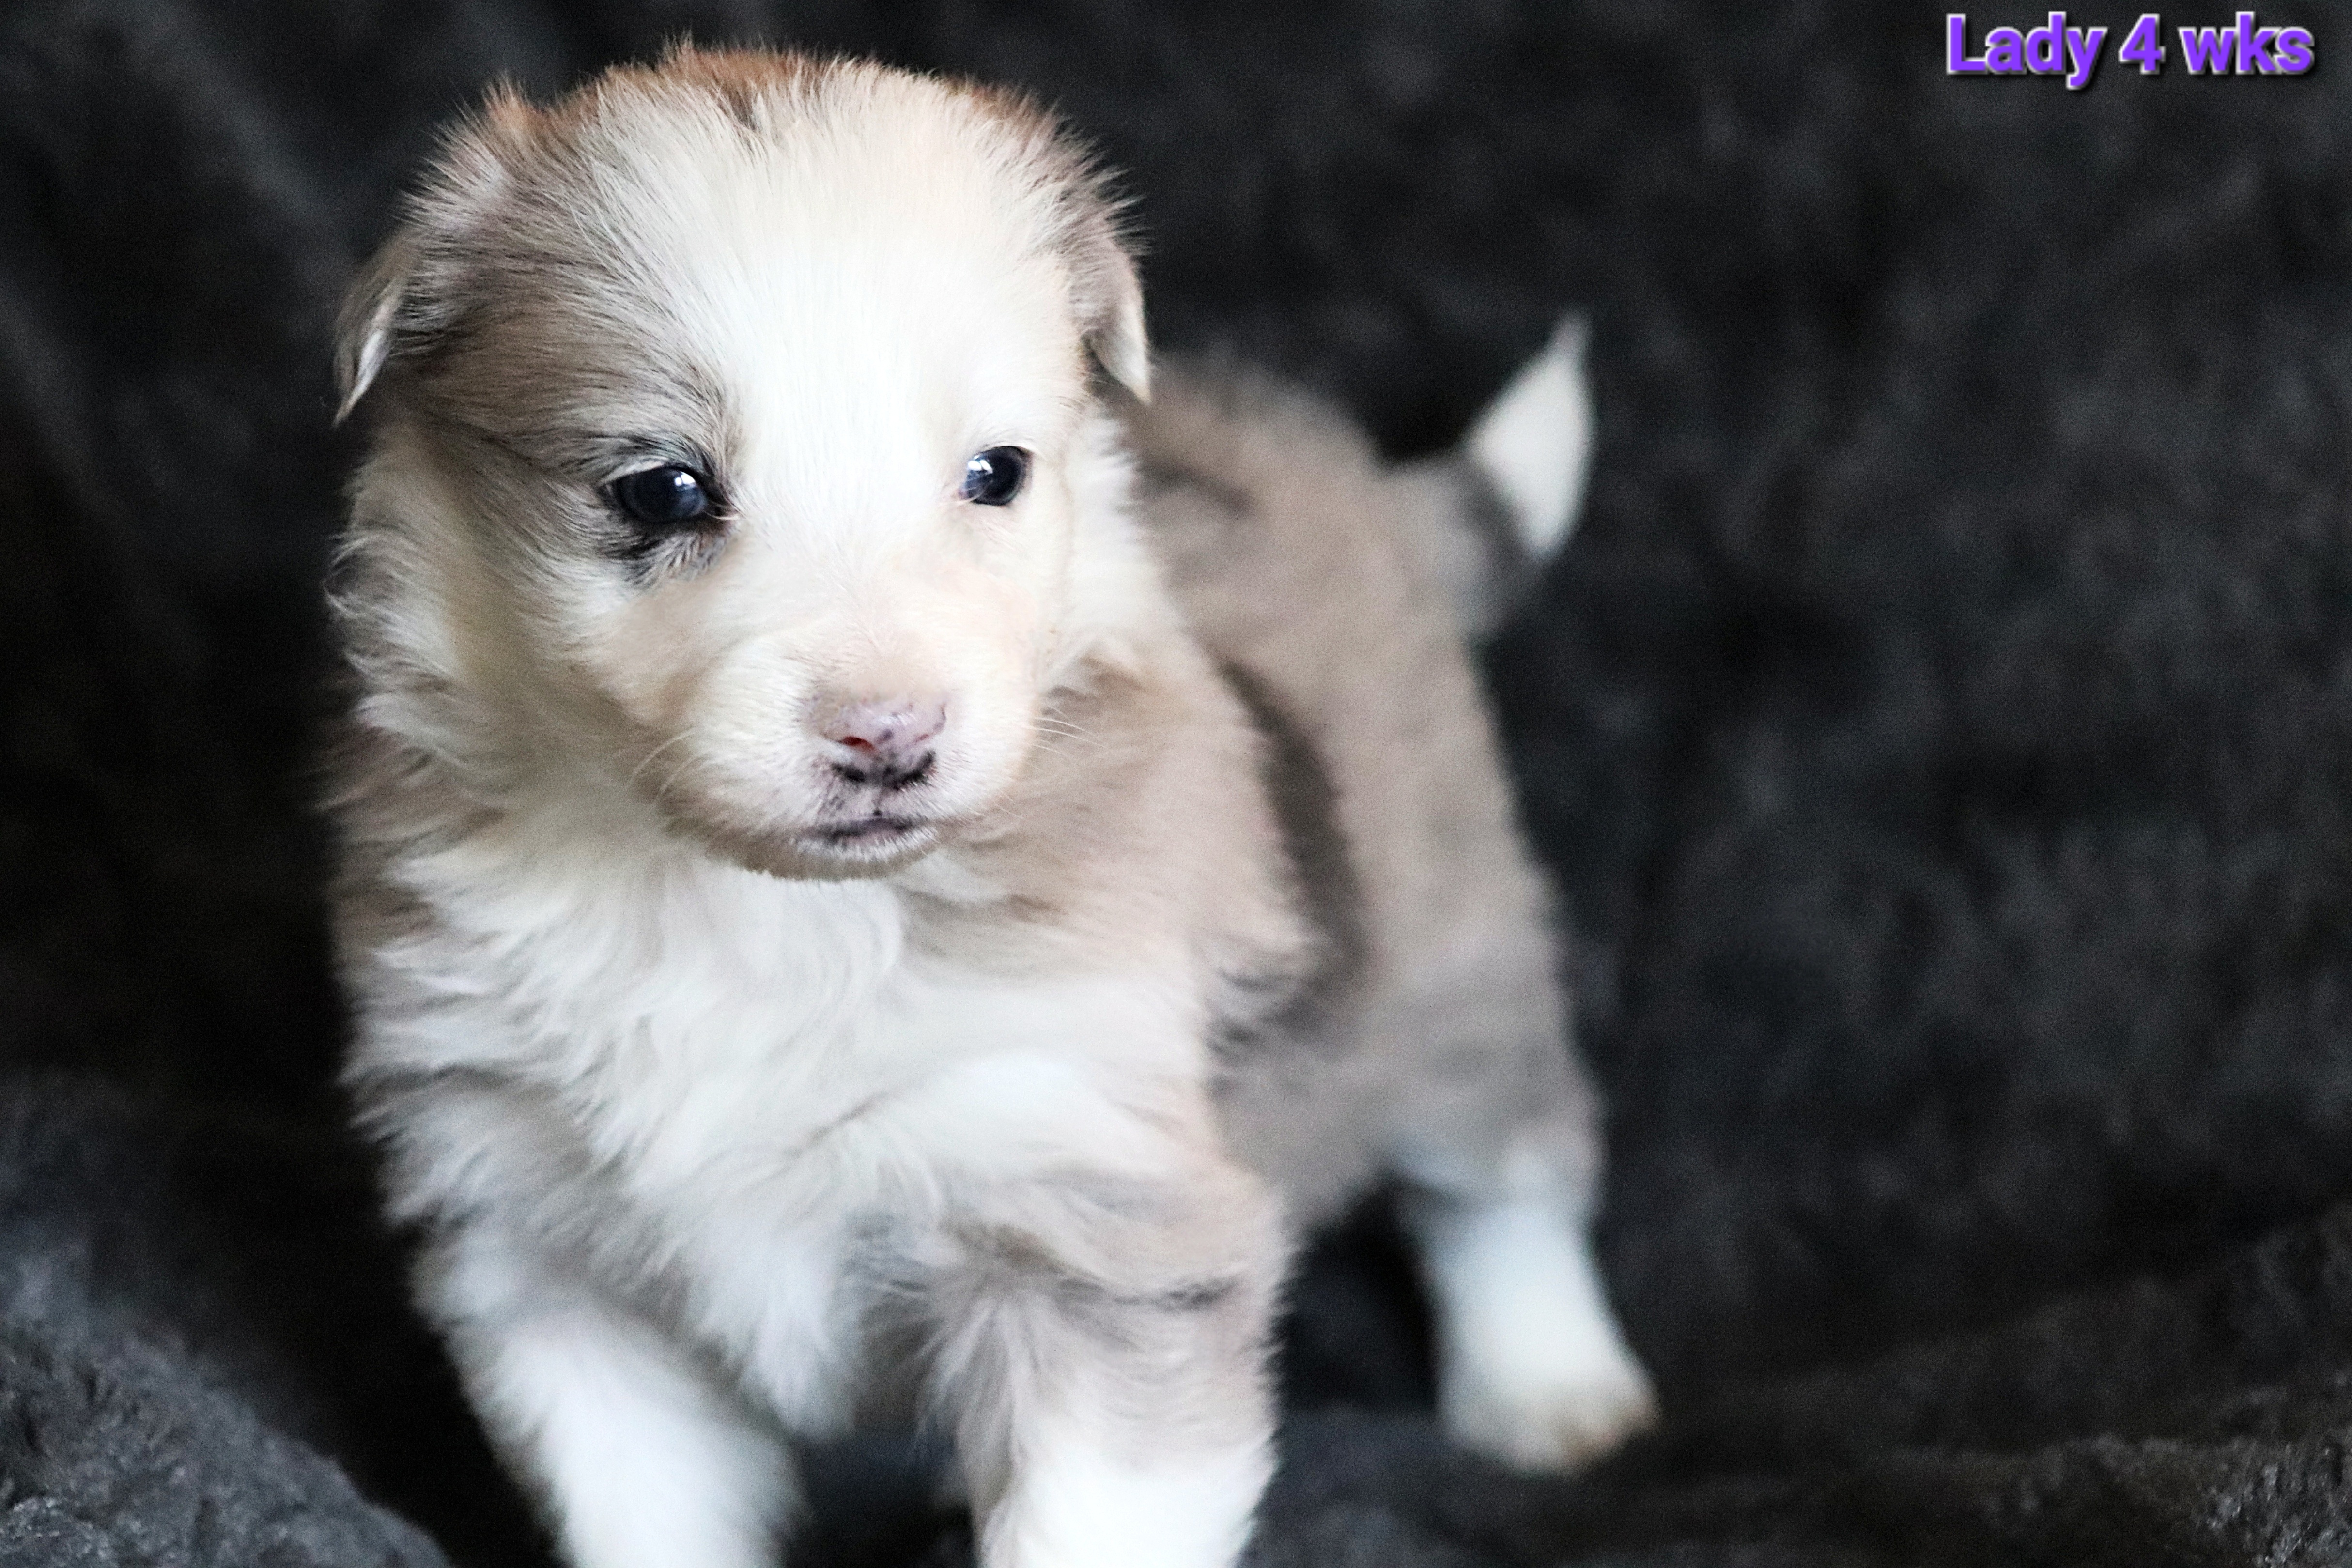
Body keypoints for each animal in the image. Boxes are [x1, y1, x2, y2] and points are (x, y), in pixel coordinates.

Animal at [327, 48, 1651, 1568]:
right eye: (662, 488)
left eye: (995, 473)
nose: (890, 735)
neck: (745, 907)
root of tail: (1356, 482)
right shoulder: (548, 1249)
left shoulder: (1091, 1201)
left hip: (1454, 951)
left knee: (1505, 1176)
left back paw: (1547, 1385)